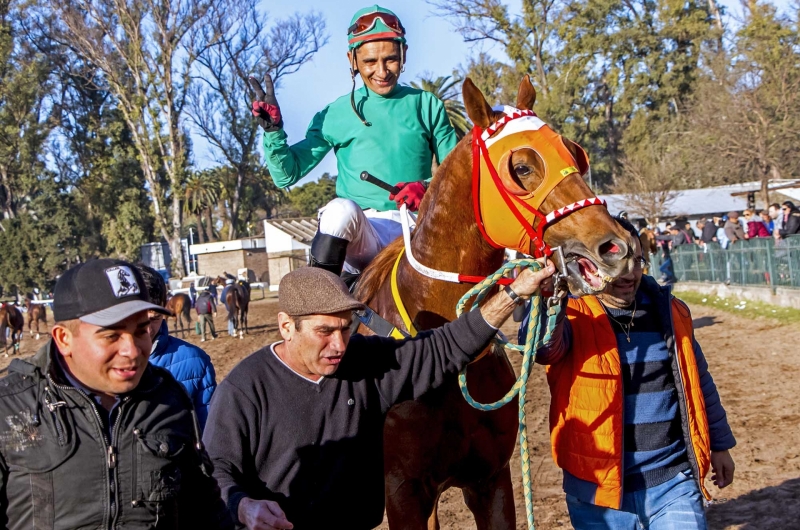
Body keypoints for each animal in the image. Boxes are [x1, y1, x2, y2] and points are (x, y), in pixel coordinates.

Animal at [354, 76, 636, 524]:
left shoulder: (490, 481)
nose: (616, 247)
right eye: (522, 167)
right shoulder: (403, 493)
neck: (439, 347)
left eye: (574, 152)